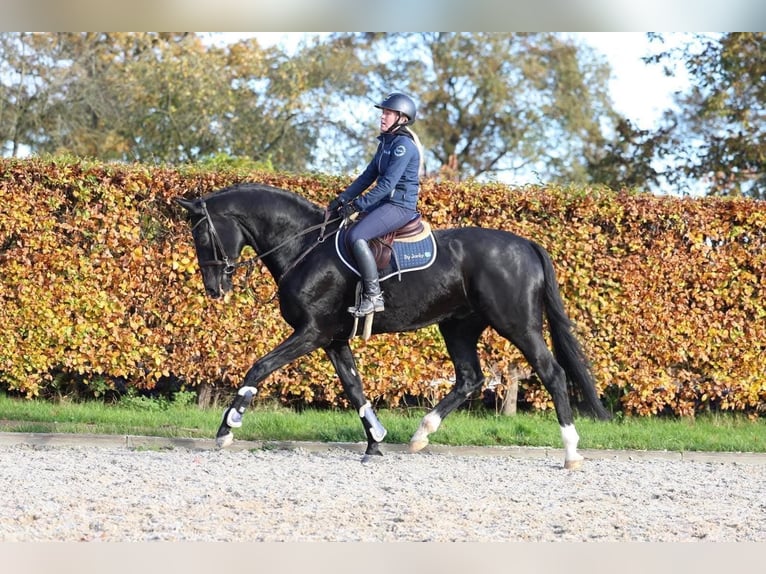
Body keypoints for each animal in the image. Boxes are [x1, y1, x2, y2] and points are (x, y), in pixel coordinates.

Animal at [176, 182, 611, 469]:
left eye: (203, 235)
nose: (214, 289)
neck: (306, 246)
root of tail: (526, 244)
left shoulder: (311, 333)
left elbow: (259, 367)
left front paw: (227, 429)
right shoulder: (333, 340)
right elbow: (355, 389)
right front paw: (375, 442)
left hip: (517, 324)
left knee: (551, 372)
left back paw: (571, 452)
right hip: (459, 327)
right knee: (470, 377)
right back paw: (420, 435)